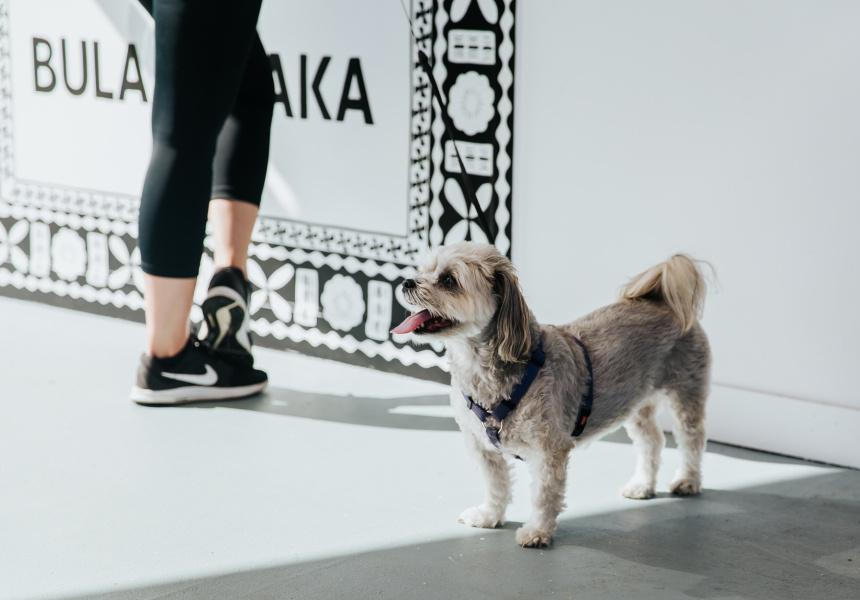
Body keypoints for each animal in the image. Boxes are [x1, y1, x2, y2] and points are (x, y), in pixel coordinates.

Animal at [392, 242, 711, 547]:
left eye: (448, 279)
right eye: (422, 269)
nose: (407, 281)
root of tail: (666, 302)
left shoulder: (549, 451)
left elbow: (543, 496)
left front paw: (537, 532)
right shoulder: (482, 447)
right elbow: (496, 485)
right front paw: (489, 515)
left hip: (685, 394)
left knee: (692, 440)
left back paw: (688, 480)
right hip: (635, 402)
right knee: (652, 442)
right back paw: (642, 484)